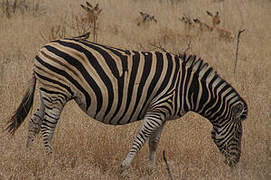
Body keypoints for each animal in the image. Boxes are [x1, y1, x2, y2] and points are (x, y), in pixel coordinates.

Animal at [5, 35, 249, 172]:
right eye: (238, 134)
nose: (236, 163)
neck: (189, 88)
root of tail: (44, 46)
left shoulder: (163, 113)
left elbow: (154, 141)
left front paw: (151, 170)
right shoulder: (158, 108)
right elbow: (141, 137)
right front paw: (124, 167)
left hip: (48, 92)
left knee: (35, 122)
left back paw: (27, 155)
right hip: (56, 92)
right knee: (48, 127)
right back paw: (50, 161)